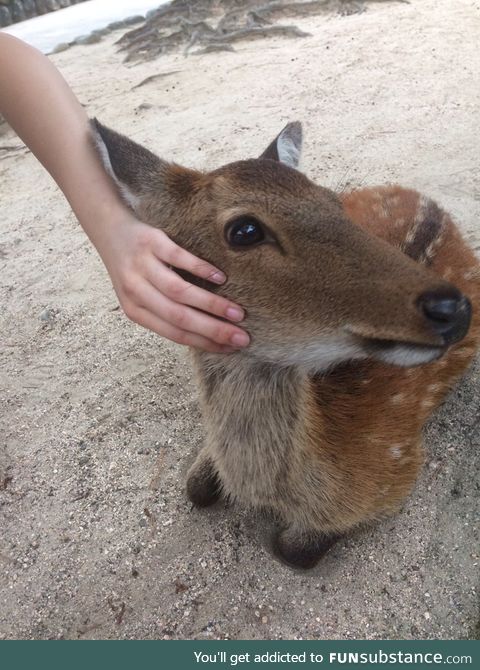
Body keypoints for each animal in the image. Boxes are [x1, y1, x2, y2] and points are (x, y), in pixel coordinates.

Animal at [91, 118, 480, 568]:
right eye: (245, 230)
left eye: (333, 202)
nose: (451, 307)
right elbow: (195, 487)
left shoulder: (396, 470)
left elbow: (291, 549)